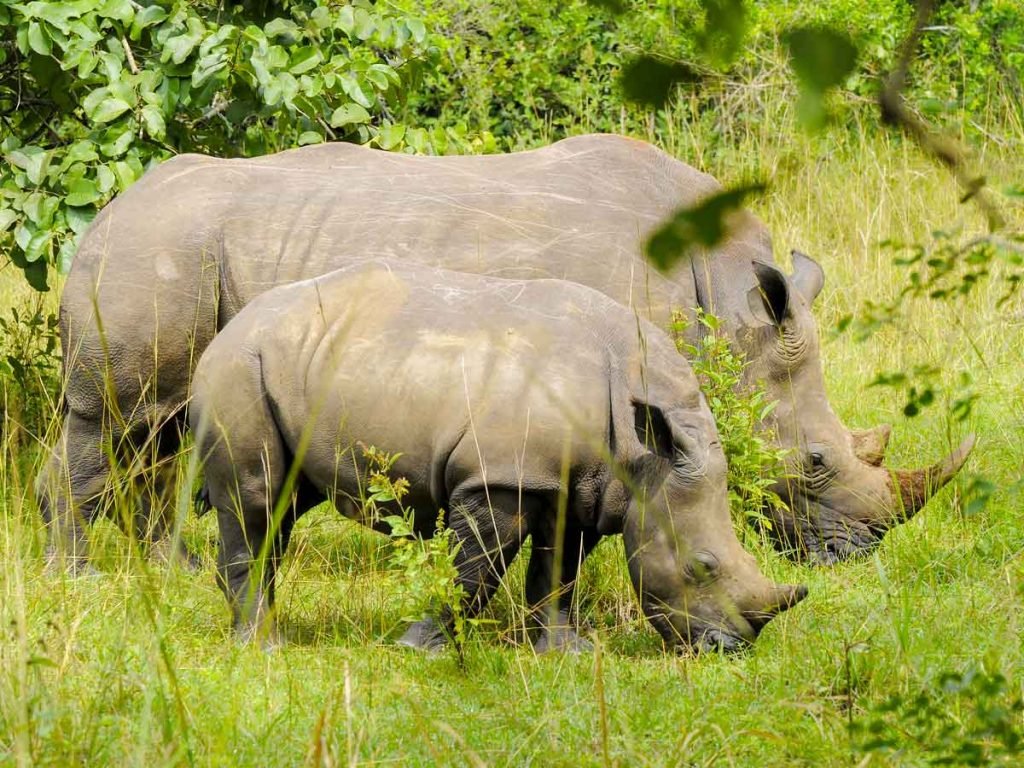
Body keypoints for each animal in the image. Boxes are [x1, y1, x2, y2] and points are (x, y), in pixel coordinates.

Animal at [39, 133, 972, 570]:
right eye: (814, 461)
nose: (857, 556)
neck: (726, 306)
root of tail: (107, 207)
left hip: (178, 252)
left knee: (156, 433)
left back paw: (168, 569)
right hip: (150, 252)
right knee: (109, 423)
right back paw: (79, 577)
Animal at [189, 260, 808, 652]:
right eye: (701, 567)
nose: (729, 649)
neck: (644, 454)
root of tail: (226, 329)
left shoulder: (576, 484)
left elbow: (558, 571)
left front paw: (563, 652)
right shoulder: (504, 477)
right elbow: (475, 568)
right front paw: (421, 647)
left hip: (293, 364)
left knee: (285, 504)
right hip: (239, 367)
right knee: (257, 496)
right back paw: (263, 646)